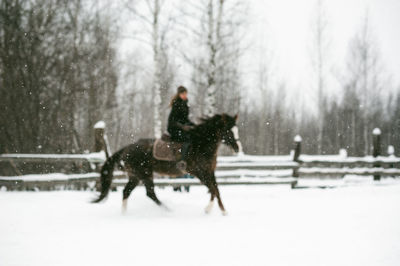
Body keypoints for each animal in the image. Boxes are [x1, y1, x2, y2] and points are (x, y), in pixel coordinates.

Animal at [92, 113, 239, 215]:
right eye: (228, 130)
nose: (237, 148)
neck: (201, 144)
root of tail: (127, 148)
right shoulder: (196, 171)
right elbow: (212, 188)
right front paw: (208, 209)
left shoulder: (209, 171)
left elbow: (216, 189)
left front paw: (223, 211)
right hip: (143, 174)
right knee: (149, 193)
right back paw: (168, 210)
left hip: (135, 176)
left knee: (127, 192)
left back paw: (124, 214)